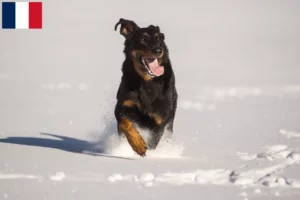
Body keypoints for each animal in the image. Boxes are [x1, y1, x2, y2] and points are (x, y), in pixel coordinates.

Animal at [113, 18, 177, 156]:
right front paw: (138, 145)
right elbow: (125, 124)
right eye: (143, 39)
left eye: (159, 39)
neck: (147, 83)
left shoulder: (160, 121)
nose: (158, 50)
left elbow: (153, 142)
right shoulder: (122, 106)